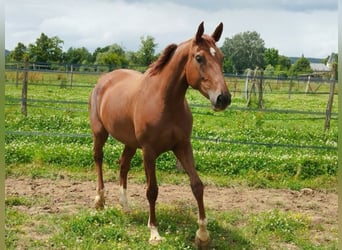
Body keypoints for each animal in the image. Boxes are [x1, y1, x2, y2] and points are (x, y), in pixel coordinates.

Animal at [89, 22, 231, 248]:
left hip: (130, 143)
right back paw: (100, 200)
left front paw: (202, 235)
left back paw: (125, 205)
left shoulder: (183, 146)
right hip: (99, 133)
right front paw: (154, 232)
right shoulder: (149, 151)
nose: (223, 98)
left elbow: (197, 185)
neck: (165, 101)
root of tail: (105, 79)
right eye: (199, 57)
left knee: (123, 165)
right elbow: (152, 190)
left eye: (221, 57)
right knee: (98, 159)